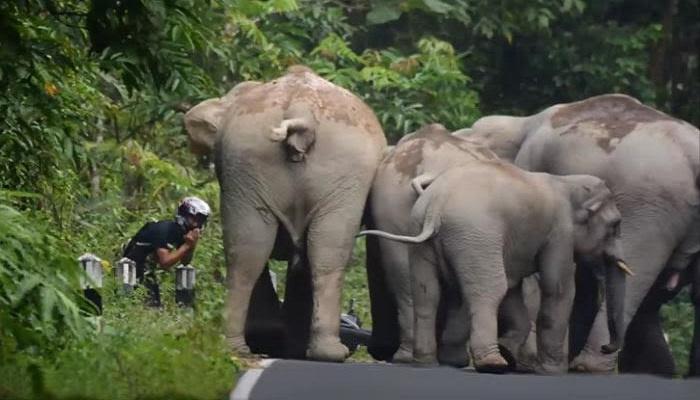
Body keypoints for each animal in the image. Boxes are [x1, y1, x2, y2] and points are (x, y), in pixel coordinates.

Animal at [364, 161, 632, 374]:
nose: (605, 347)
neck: (566, 182)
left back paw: (430, 362)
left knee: (427, 293)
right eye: (616, 225)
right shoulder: (559, 234)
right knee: (489, 290)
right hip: (476, 234)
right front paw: (551, 371)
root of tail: (435, 204)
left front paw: (513, 353)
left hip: (422, 235)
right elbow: (557, 290)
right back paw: (492, 363)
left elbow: (514, 290)